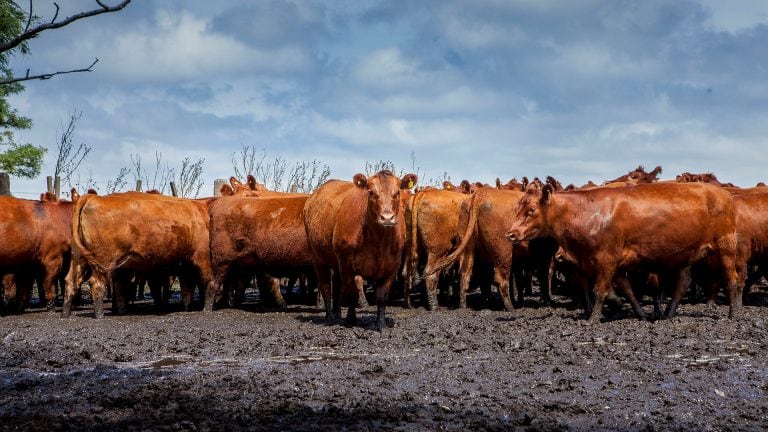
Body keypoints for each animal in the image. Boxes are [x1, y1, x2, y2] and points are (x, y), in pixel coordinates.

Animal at [63, 192, 216, 318]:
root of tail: (92, 197)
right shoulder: (204, 257)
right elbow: (209, 282)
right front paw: (207, 309)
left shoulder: (185, 263)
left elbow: (187, 288)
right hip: (104, 261)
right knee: (96, 283)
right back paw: (100, 315)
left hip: (79, 258)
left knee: (71, 281)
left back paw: (66, 313)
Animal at [302, 170, 420, 330]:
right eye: (371, 192)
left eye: (397, 193)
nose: (387, 218)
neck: (378, 242)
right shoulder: (346, 264)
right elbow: (352, 293)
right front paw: (350, 320)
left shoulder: (392, 266)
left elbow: (381, 296)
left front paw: (380, 323)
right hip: (319, 259)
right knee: (326, 287)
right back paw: (330, 317)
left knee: (337, 287)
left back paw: (338, 314)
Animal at [508, 181, 740, 322]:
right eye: (517, 208)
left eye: (531, 211)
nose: (510, 233)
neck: (589, 213)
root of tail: (723, 194)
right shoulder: (614, 263)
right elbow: (626, 290)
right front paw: (637, 312)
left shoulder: (606, 258)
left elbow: (600, 290)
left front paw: (593, 319)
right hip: (685, 254)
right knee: (683, 283)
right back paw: (667, 313)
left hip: (725, 247)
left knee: (732, 279)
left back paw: (733, 313)